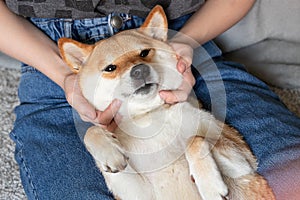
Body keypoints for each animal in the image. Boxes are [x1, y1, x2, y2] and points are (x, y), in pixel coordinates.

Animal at [58, 5, 274, 199]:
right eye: (110, 68)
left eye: (144, 53)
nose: (139, 70)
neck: (149, 116)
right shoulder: (136, 192)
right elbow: (91, 131)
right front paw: (109, 152)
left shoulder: (243, 161)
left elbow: (193, 140)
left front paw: (210, 185)